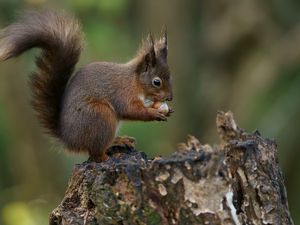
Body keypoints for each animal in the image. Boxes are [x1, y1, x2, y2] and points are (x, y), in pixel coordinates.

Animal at [0, 10, 173, 162]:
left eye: (170, 75)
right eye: (156, 82)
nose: (170, 98)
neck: (135, 81)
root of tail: (69, 139)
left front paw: (167, 110)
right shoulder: (124, 93)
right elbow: (131, 110)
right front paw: (153, 113)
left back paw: (118, 141)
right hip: (101, 116)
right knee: (95, 153)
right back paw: (108, 157)